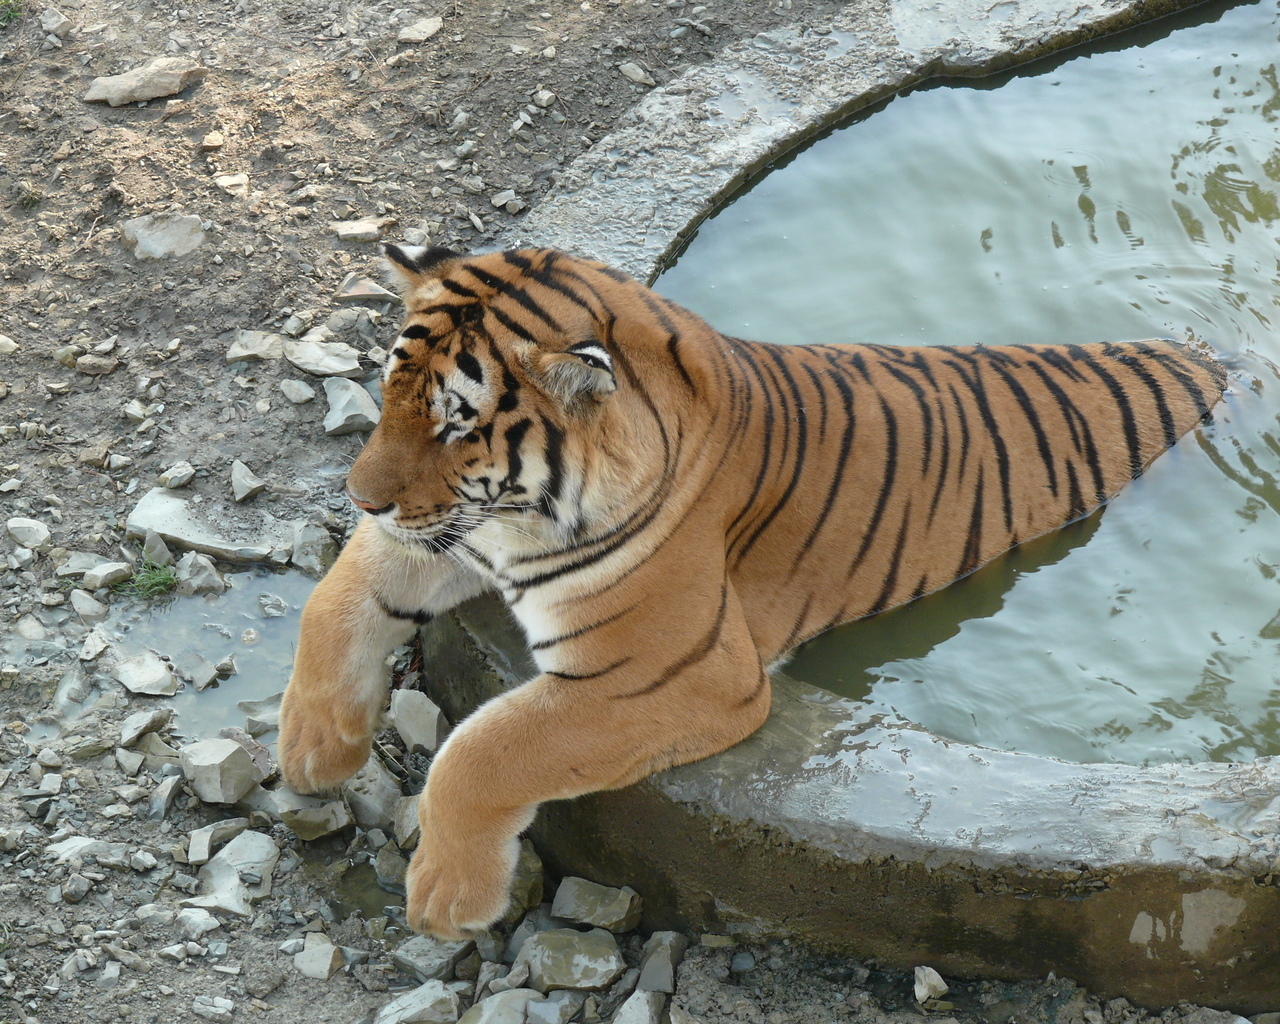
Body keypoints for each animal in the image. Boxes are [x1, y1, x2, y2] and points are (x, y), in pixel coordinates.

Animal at [277, 244, 1228, 942]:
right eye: (391, 394)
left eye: (456, 424)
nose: (359, 496)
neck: (523, 524)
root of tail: (1214, 360)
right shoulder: (456, 536)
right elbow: (335, 599)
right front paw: (314, 749)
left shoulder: (677, 672)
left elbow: (485, 748)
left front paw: (445, 898)